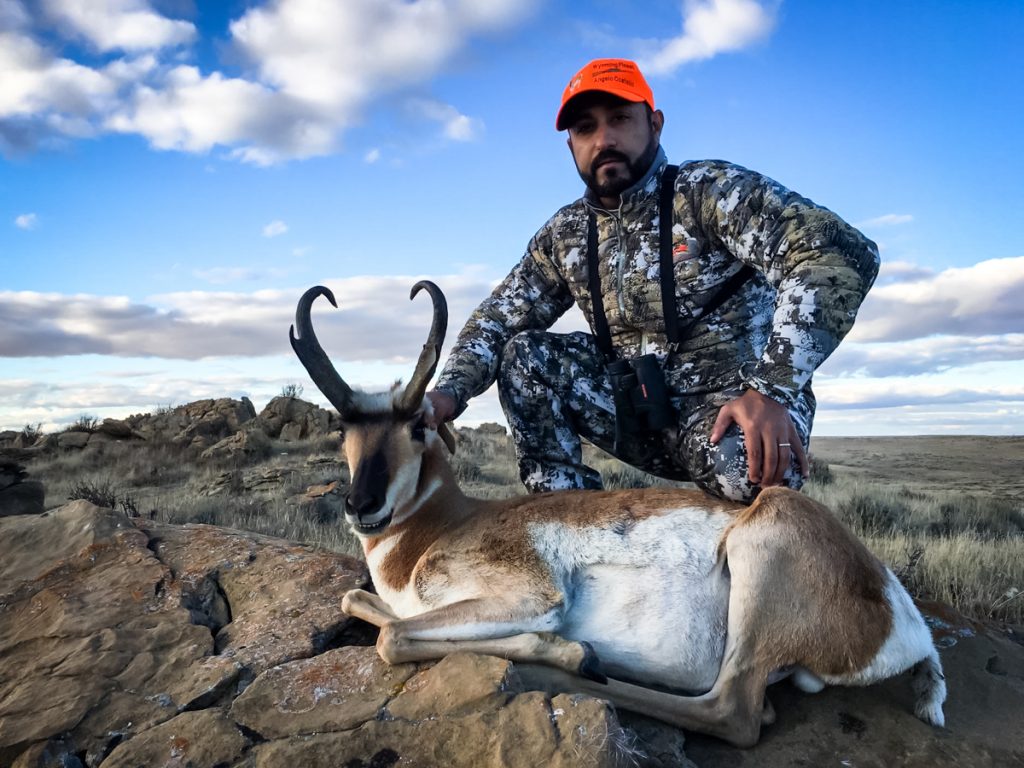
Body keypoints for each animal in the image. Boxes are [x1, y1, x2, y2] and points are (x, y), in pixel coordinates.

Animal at [288, 280, 942, 745]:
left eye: (418, 426)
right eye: (343, 429)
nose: (361, 506)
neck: (441, 527)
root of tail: (901, 614)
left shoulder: (530, 598)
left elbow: (392, 637)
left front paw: (565, 652)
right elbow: (357, 600)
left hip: (761, 557)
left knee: (733, 714)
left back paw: (570, 671)